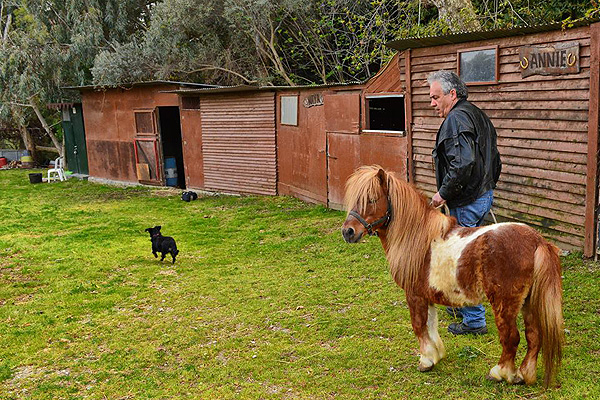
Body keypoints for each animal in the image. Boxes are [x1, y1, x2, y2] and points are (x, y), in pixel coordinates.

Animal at [342, 166, 564, 388]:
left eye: (371, 199)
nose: (348, 232)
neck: (419, 239)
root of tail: (537, 241)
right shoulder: (427, 296)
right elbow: (430, 325)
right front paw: (436, 355)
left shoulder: (414, 296)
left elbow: (418, 326)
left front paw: (425, 361)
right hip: (528, 303)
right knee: (534, 337)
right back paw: (526, 374)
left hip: (505, 304)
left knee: (511, 338)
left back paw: (501, 373)